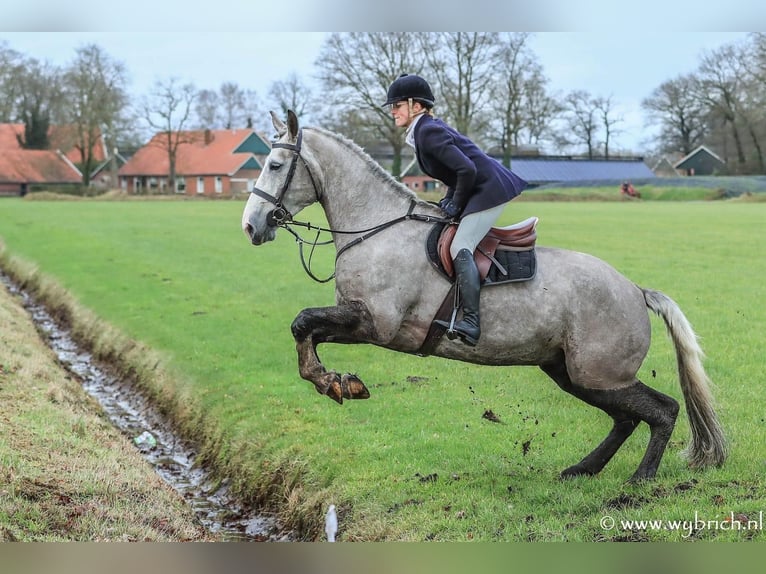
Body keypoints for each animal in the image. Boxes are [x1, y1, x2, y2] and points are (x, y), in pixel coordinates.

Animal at [241, 110, 727, 482]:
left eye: (276, 166)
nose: (251, 226)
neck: (375, 227)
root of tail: (636, 290)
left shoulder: (375, 322)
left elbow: (304, 321)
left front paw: (333, 382)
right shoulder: (356, 318)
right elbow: (307, 329)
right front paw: (334, 381)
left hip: (599, 372)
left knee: (662, 410)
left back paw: (640, 478)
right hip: (572, 371)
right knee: (626, 418)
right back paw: (581, 470)